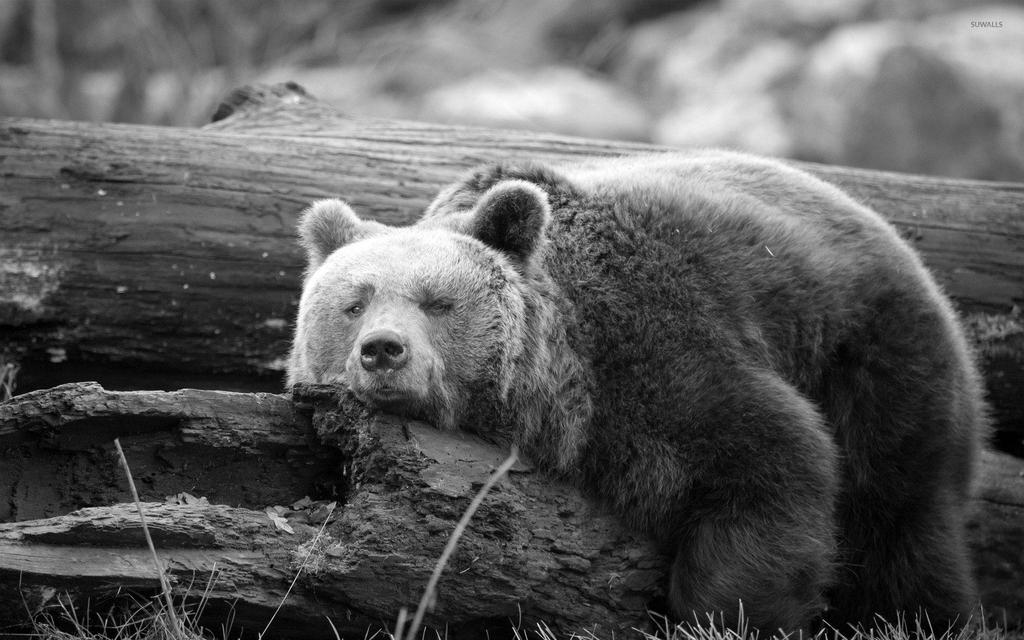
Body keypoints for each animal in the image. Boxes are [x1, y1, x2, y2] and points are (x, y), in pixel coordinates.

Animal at [284, 150, 987, 634]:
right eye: (354, 303)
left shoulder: (664, 357)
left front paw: (724, 614)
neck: (560, 387)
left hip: (874, 364)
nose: (382, 350)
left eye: (437, 302)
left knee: (900, 525)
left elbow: (773, 468)